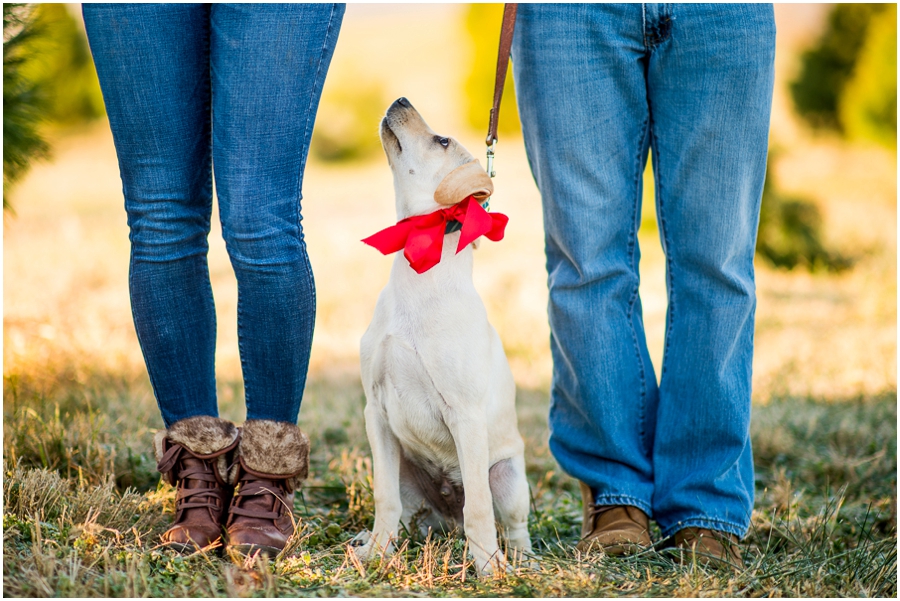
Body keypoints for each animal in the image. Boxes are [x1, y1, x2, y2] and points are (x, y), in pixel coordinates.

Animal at [356, 96, 532, 576]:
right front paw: (376, 553)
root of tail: (445, 516)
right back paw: (375, 540)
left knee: (508, 522)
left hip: (509, 478)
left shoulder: (466, 417)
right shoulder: (376, 411)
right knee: (408, 515)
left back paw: (519, 559)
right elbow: (383, 498)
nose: (399, 99)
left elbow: (479, 509)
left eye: (442, 140)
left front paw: (488, 568)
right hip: (403, 467)